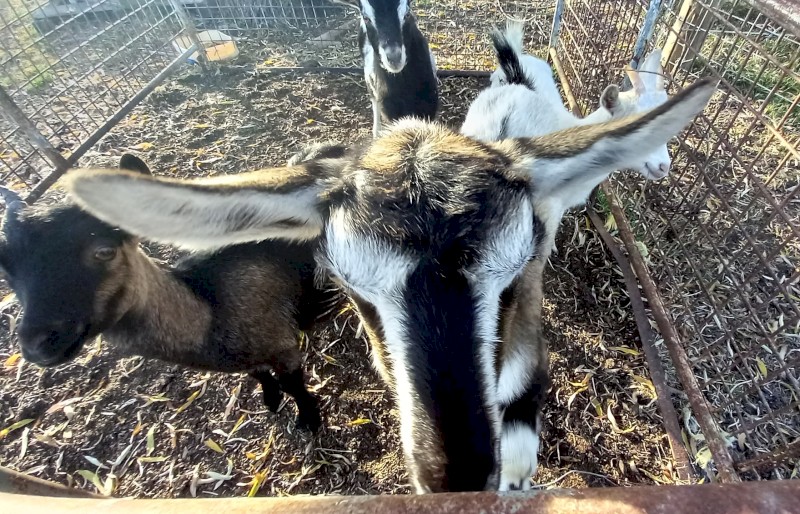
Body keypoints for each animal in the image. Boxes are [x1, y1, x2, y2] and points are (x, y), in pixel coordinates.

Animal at [0, 154, 339, 433]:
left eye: (105, 251)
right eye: (5, 268)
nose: (37, 344)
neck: (210, 309)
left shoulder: (281, 343)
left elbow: (293, 384)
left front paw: (309, 420)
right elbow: (258, 376)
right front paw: (271, 400)